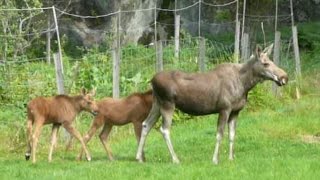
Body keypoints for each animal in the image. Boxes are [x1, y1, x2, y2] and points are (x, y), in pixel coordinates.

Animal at [136, 44, 288, 165]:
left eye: (272, 61)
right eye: (265, 63)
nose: (284, 77)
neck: (245, 84)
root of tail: (151, 80)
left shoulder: (236, 111)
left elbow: (232, 135)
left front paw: (231, 158)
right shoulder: (224, 108)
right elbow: (220, 134)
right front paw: (215, 160)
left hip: (157, 103)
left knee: (146, 124)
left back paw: (139, 157)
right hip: (168, 104)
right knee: (164, 129)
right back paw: (175, 159)